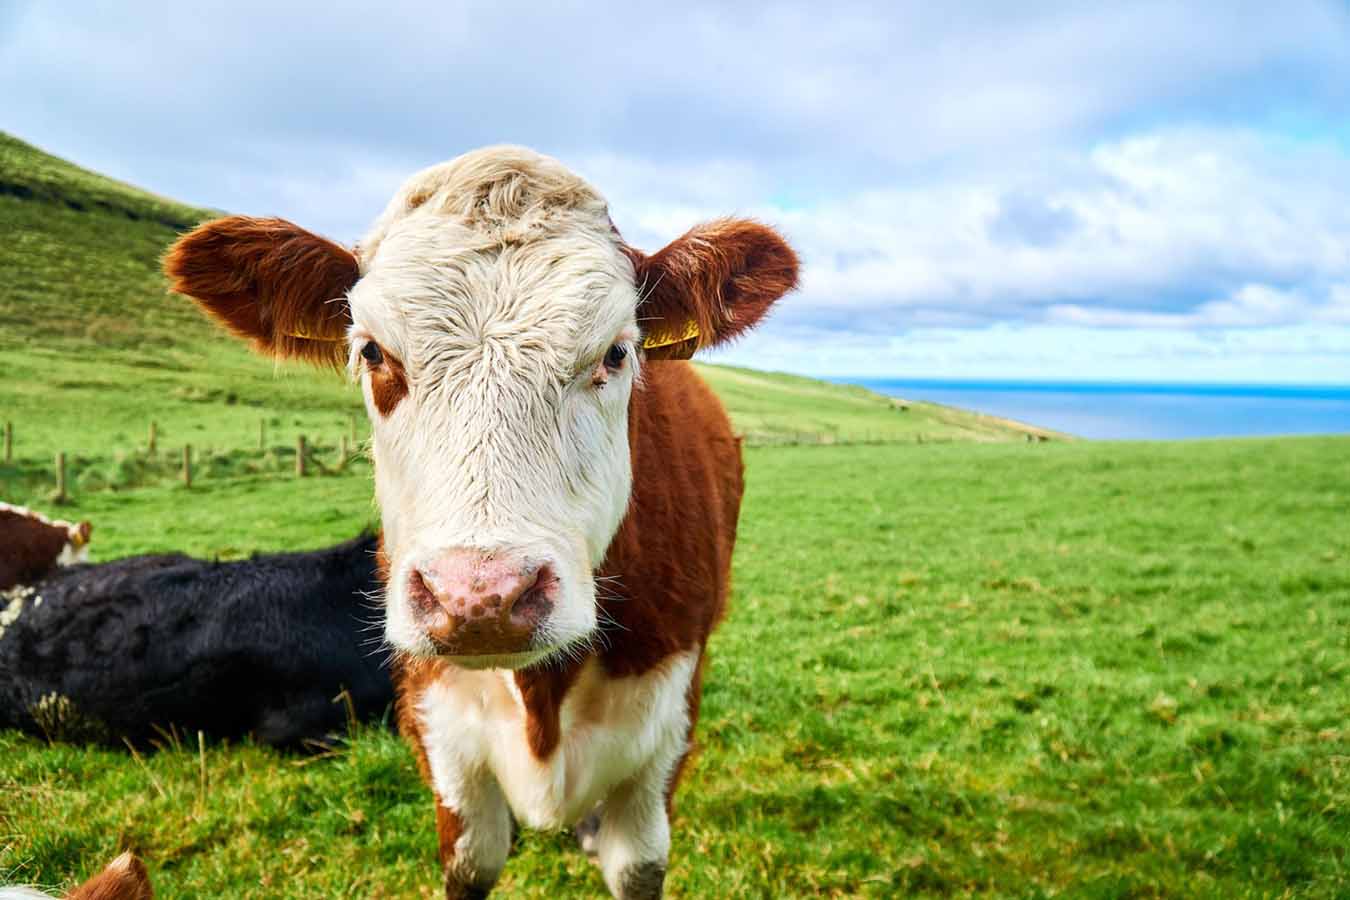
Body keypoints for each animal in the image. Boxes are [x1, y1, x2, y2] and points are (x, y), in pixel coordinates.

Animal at [165, 146, 798, 898]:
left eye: (616, 352)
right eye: (373, 351)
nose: (482, 599)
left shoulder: (663, 740)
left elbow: (636, 865)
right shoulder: (439, 733)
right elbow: (470, 862)